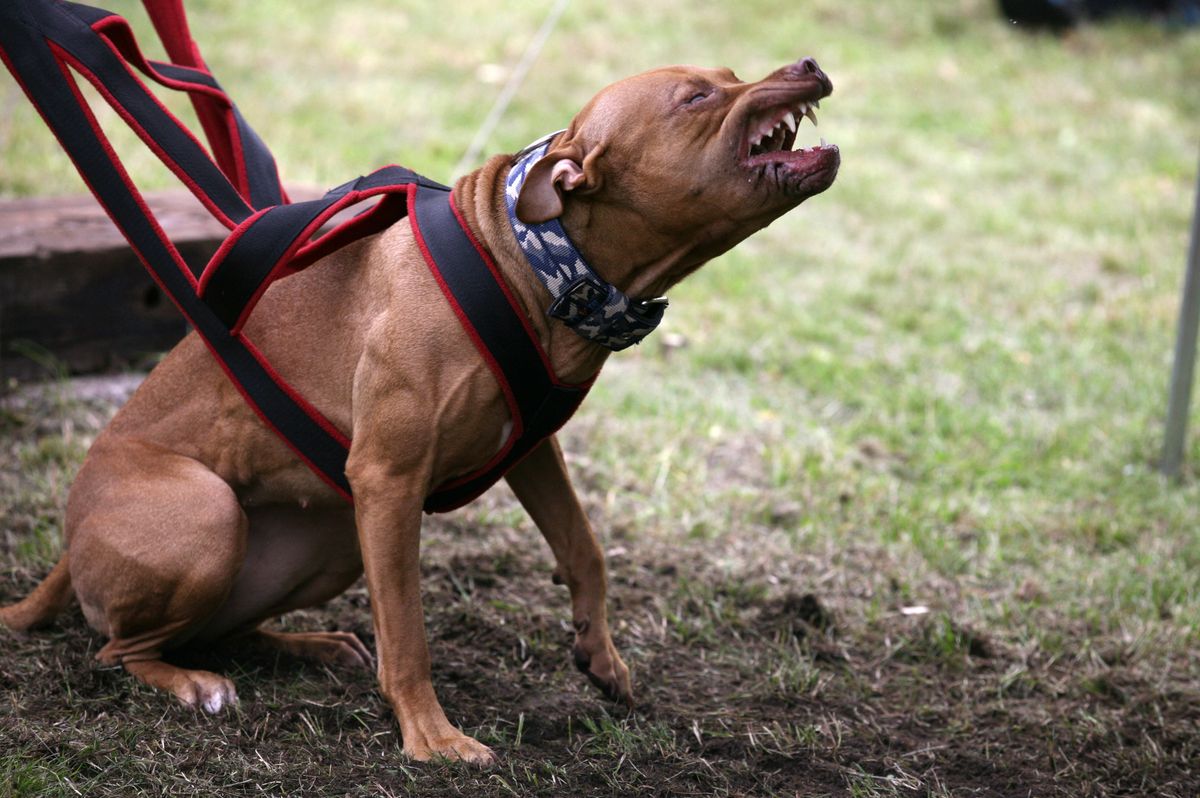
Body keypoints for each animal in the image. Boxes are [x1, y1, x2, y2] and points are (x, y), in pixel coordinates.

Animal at [2, 57, 835, 758]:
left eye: (729, 74)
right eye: (696, 98)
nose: (808, 64)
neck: (534, 256)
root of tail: (67, 549)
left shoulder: (532, 449)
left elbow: (585, 548)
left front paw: (601, 654)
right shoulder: (388, 481)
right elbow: (407, 632)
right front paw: (432, 739)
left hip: (334, 535)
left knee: (214, 630)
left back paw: (305, 646)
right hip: (211, 516)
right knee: (120, 647)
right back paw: (191, 686)